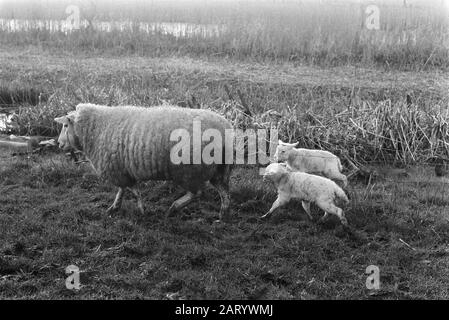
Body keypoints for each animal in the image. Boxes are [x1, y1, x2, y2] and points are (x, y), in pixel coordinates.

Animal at [54, 104, 233, 221]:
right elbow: (124, 190)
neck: (96, 128)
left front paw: (140, 210)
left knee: (197, 193)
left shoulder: (117, 170)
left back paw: (173, 208)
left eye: (65, 125)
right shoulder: (122, 169)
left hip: (190, 170)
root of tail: (225, 128)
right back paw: (222, 215)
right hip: (218, 169)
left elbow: (133, 190)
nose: (59, 144)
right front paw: (115, 207)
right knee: (224, 192)